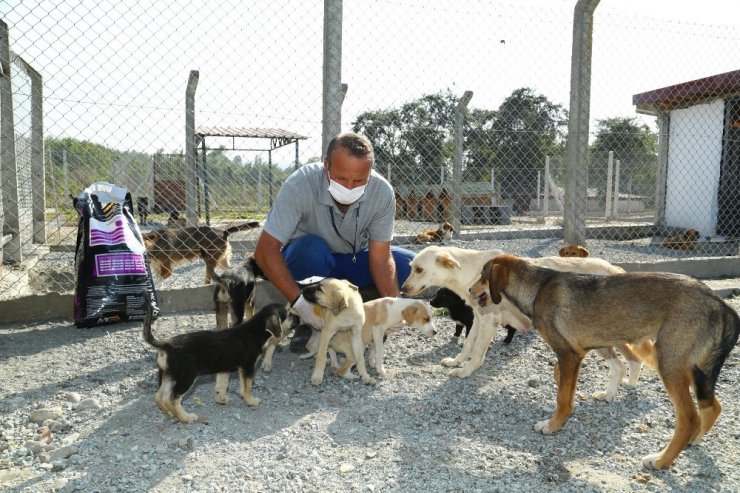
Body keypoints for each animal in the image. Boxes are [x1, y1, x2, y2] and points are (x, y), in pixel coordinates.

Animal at [398, 245, 648, 400]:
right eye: (411, 268)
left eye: (419, 269)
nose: (402, 289)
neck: (470, 271)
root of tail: (616, 268)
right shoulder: (478, 318)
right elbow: (468, 344)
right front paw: (456, 362)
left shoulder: (489, 321)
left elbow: (477, 352)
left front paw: (466, 372)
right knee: (631, 361)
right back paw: (623, 387)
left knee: (625, 362)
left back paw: (614, 391)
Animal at [472, 254, 736, 468]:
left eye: (482, 276)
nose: (469, 292)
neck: (536, 287)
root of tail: (719, 302)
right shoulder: (583, 350)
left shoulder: (569, 354)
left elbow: (563, 398)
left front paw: (553, 425)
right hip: (695, 369)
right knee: (713, 406)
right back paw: (694, 441)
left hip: (670, 363)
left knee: (689, 418)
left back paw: (661, 461)